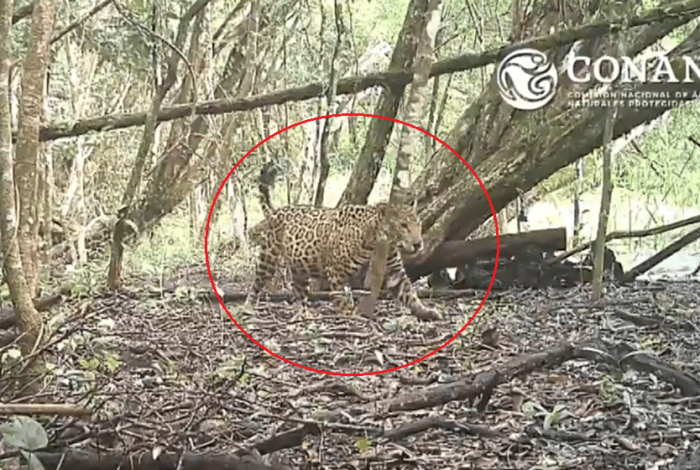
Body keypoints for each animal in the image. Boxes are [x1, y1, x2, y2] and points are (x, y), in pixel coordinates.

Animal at [245, 162, 440, 320]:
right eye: (403, 226)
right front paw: (352, 314)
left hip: (301, 266)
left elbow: (409, 292)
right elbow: (341, 297)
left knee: (298, 292)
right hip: (268, 258)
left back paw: (304, 314)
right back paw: (247, 308)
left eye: (418, 225)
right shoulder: (336, 271)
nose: (418, 244)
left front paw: (426, 311)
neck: (376, 238)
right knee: (257, 284)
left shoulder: (394, 271)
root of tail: (275, 211)